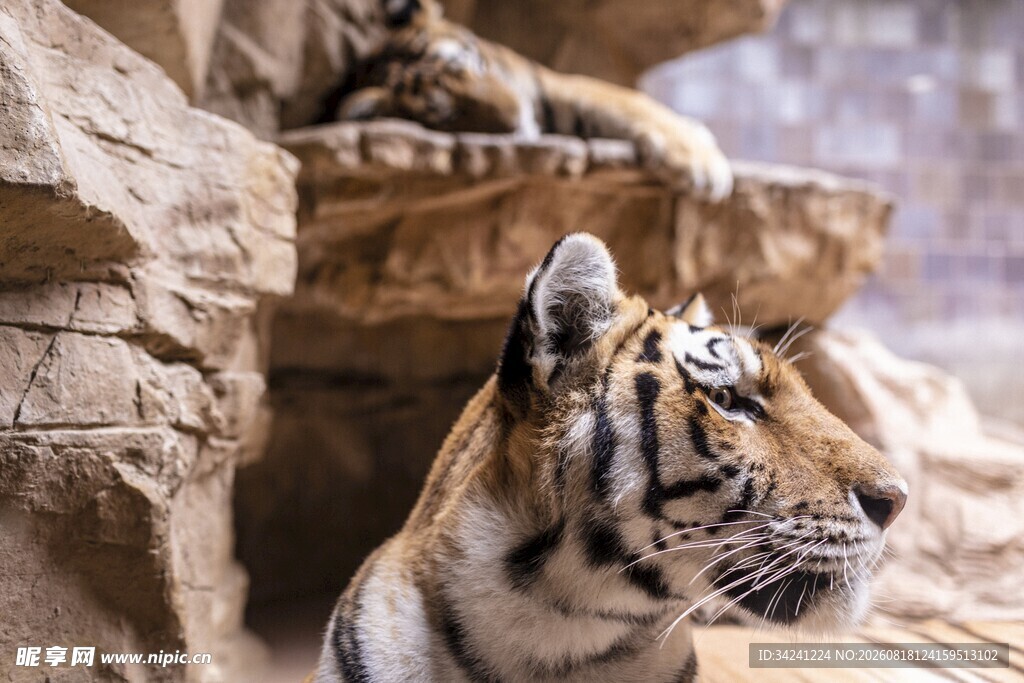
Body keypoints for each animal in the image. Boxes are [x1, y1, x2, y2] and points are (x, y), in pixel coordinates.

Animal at [322, 0, 733, 200]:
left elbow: (633, 103)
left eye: (470, 64)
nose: (517, 117)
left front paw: (705, 166)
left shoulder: (558, 86)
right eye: (446, 113)